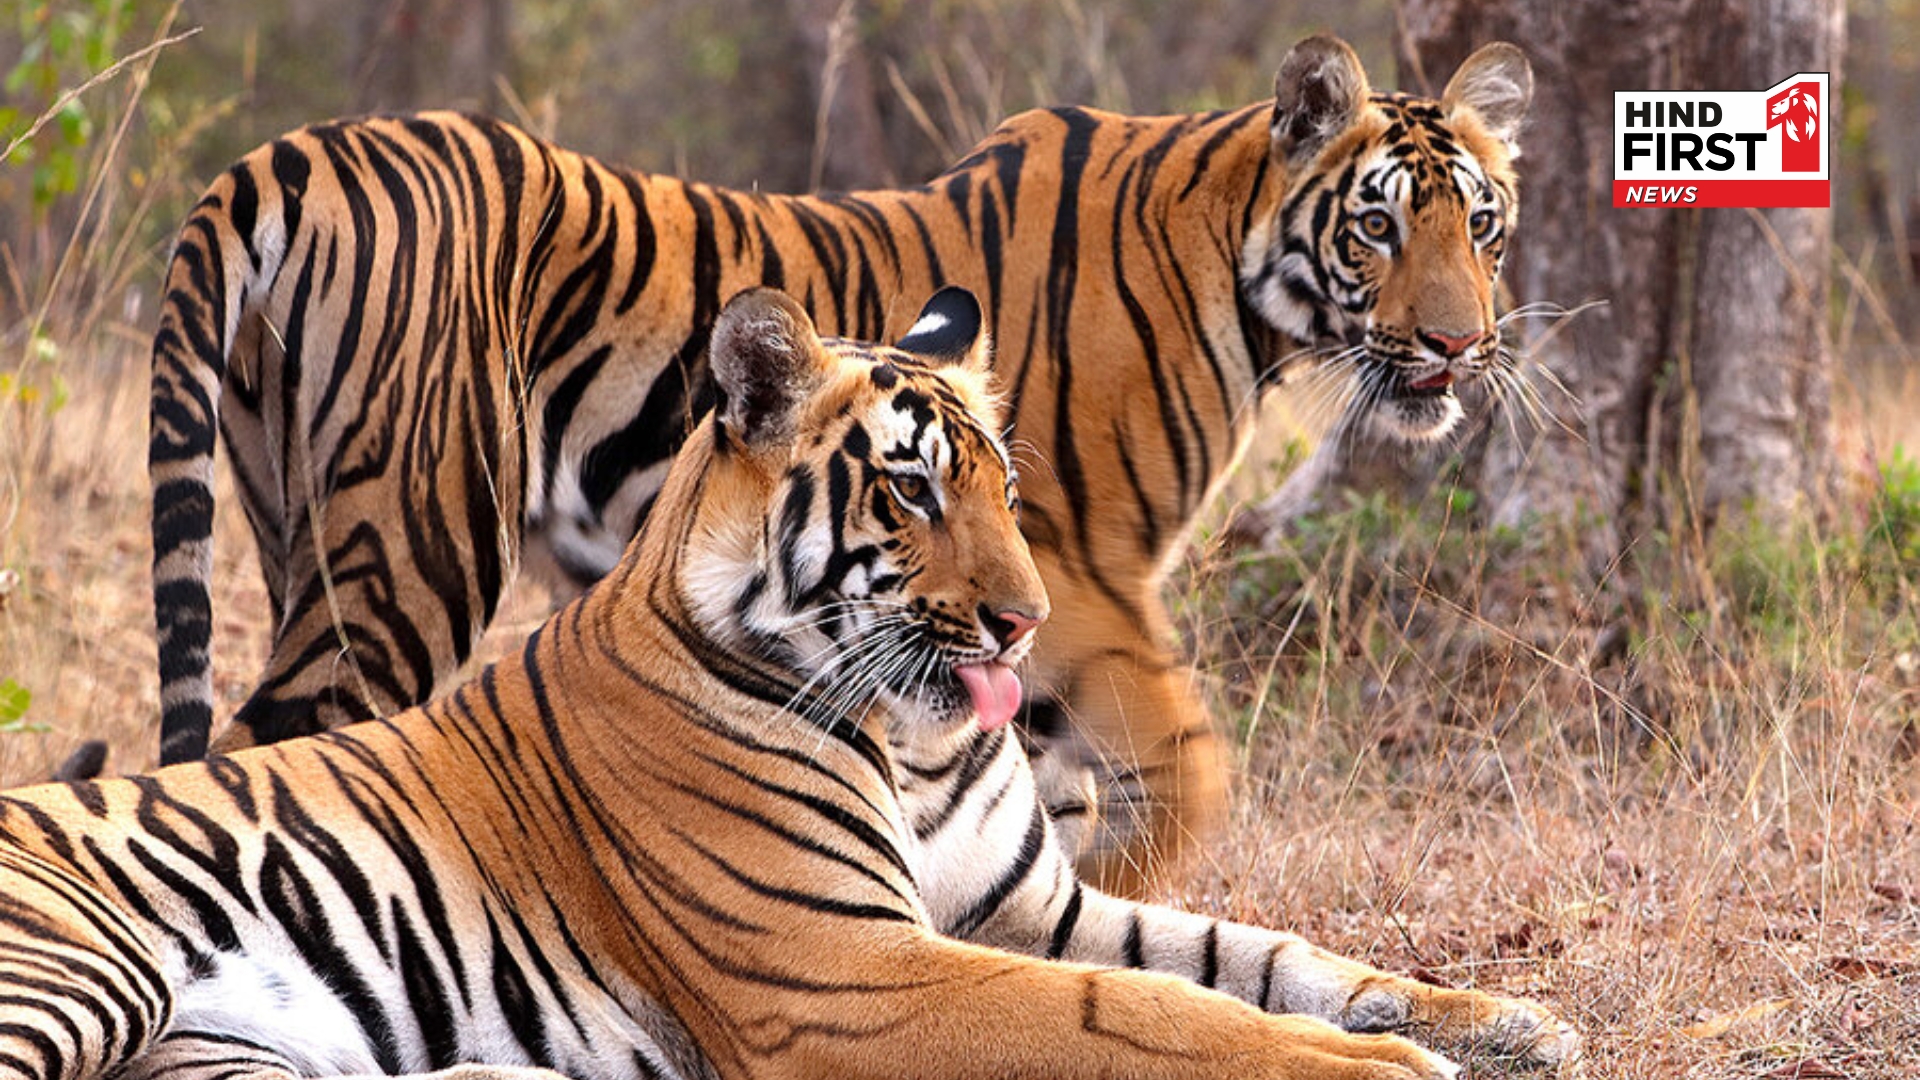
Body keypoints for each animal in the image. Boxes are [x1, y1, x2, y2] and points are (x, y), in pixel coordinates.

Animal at [5, 287, 1579, 1080]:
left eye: (1005, 488)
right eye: (913, 488)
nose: (1026, 623)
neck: (915, 739)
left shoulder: (1032, 908)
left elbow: (1263, 956)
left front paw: (1502, 1023)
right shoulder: (846, 975)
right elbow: (1145, 1016)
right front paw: (1389, 1074)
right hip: (76, 971)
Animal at [147, 34, 1534, 892]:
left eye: (1481, 223)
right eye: (1377, 224)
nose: (1461, 343)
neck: (1244, 288)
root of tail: (284, 155)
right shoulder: (1077, 579)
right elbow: (1189, 772)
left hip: (295, 522)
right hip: (413, 554)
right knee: (272, 751)